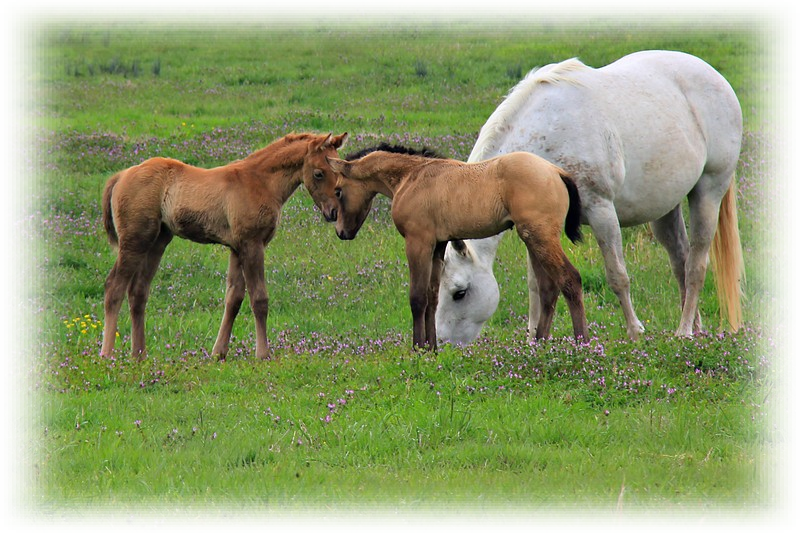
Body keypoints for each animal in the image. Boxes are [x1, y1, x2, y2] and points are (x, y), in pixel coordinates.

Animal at [101, 131, 346, 360]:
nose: (334, 212)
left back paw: (139, 354)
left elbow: (234, 299)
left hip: (157, 241)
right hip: (134, 240)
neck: (261, 182)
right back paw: (107, 354)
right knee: (114, 287)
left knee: (138, 291)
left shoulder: (237, 248)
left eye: (341, 171)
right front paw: (263, 354)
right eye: (319, 173)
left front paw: (219, 353)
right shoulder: (252, 244)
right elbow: (259, 298)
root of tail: (121, 175)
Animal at [324, 150, 588, 350]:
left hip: (540, 237)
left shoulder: (418, 241)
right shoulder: (438, 245)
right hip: (533, 240)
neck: (411, 178)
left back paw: (582, 345)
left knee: (570, 279)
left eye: (338, 190)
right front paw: (432, 348)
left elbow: (417, 297)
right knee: (548, 289)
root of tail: (556, 171)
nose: (341, 232)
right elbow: (432, 296)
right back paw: (540, 345)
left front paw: (417, 348)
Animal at [438, 51, 744, 344]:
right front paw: (532, 338)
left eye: (459, 292)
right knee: (680, 260)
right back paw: (696, 328)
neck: (543, 136)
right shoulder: (535, 226)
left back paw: (684, 331)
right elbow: (536, 285)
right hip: (665, 209)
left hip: (708, 192)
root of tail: (716, 78)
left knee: (696, 265)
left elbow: (617, 276)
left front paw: (634, 332)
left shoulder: (601, 211)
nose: (442, 342)